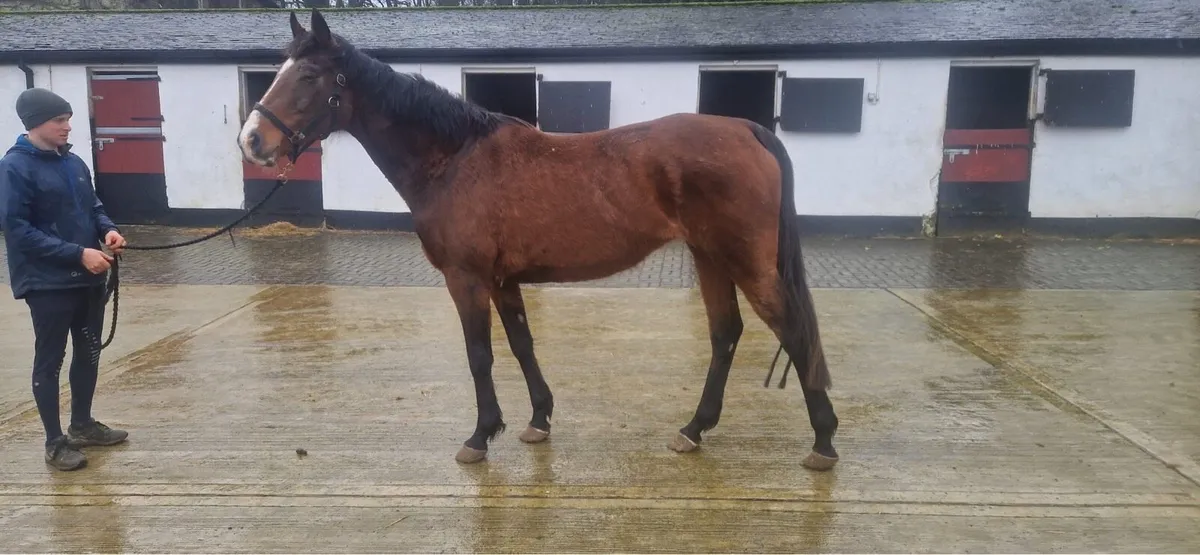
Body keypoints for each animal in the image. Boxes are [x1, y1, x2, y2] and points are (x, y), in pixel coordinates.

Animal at [237, 9, 840, 471]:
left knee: (793, 330)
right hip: (710, 256)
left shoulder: (467, 279)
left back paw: (824, 442)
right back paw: (693, 429)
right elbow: (522, 345)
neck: (455, 157)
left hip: (746, 262)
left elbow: (480, 355)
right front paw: (537, 421)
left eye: (309, 76)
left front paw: (480, 436)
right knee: (725, 334)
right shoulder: (504, 280)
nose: (252, 141)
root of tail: (746, 129)